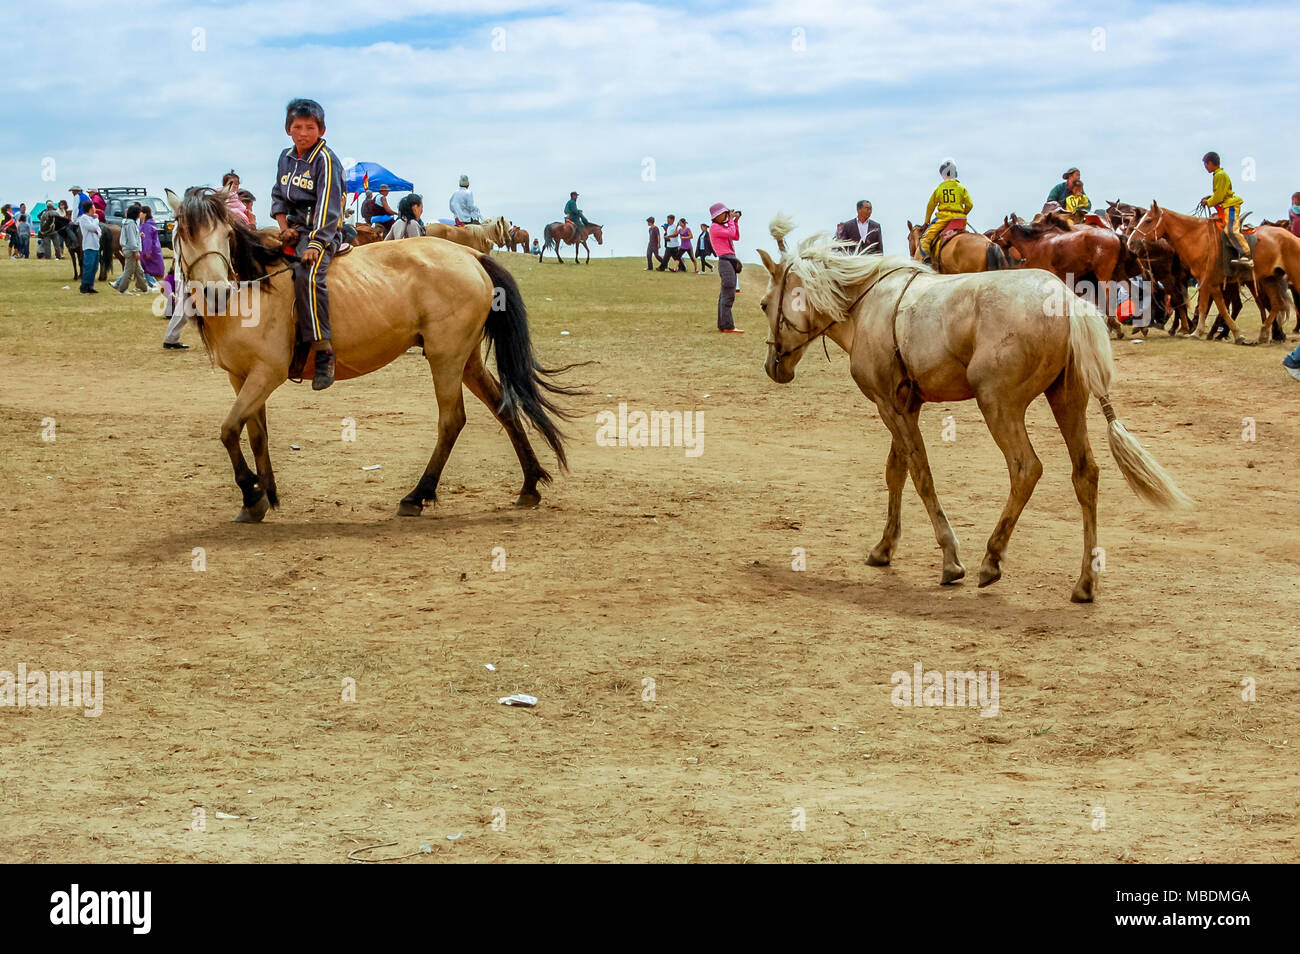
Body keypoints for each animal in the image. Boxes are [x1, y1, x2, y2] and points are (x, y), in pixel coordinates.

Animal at [165, 188, 577, 523]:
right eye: (183, 233)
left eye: (226, 234)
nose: (217, 290)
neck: (252, 290)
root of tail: (470, 254)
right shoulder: (242, 377)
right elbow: (255, 435)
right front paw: (263, 495)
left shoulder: (267, 373)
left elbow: (228, 431)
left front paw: (252, 494)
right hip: (467, 359)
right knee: (504, 408)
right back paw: (529, 485)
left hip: (446, 357)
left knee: (452, 421)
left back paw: (418, 494)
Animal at [759, 215, 1189, 603]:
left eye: (764, 304)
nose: (772, 366)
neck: (867, 307)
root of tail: (1066, 300)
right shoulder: (903, 406)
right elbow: (897, 472)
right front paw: (884, 548)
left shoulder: (890, 407)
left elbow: (920, 475)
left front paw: (950, 559)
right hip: (1066, 400)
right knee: (1086, 474)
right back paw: (1085, 583)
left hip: (999, 406)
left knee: (1025, 469)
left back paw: (992, 559)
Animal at [1129, 203, 1300, 344]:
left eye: (1148, 220)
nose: (1130, 242)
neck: (1198, 239)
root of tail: (1292, 237)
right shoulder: (1211, 284)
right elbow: (1216, 307)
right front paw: (1232, 334)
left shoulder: (1202, 282)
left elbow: (1207, 306)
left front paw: (1195, 331)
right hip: (1268, 279)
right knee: (1277, 304)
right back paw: (1264, 333)